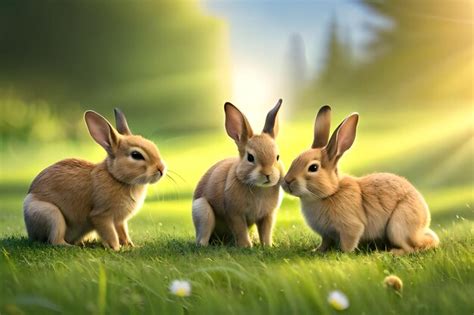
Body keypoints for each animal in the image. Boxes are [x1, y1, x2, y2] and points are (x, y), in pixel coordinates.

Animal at [23, 110, 166, 251]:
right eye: (136, 155)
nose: (161, 169)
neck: (116, 177)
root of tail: (30, 232)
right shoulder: (101, 216)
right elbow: (111, 234)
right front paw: (116, 248)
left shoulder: (119, 221)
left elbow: (123, 233)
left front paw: (131, 246)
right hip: (51, 215)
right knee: (55, 240)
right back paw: (72, 246)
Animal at [193, 100, 286, 248]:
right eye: (250, 157)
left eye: (277, 157)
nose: (268, 174)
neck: (258, 187)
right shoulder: (235, 214)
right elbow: (240, 230)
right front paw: (246, 246)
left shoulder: (267, 215)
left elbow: (266, 231)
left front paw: (267, 246)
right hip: (202, 211)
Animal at [282, 107, 440, 256]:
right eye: (294, 160)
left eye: (313, 168)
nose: (287, 181)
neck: (331, 192)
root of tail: (424, 220)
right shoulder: (326, 234)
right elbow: (324, 243)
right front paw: (316, 251)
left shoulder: (351, 227)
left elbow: (348, 242)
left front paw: (342, 253)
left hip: (398, 226)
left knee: (411, 247)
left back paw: (389, 253)